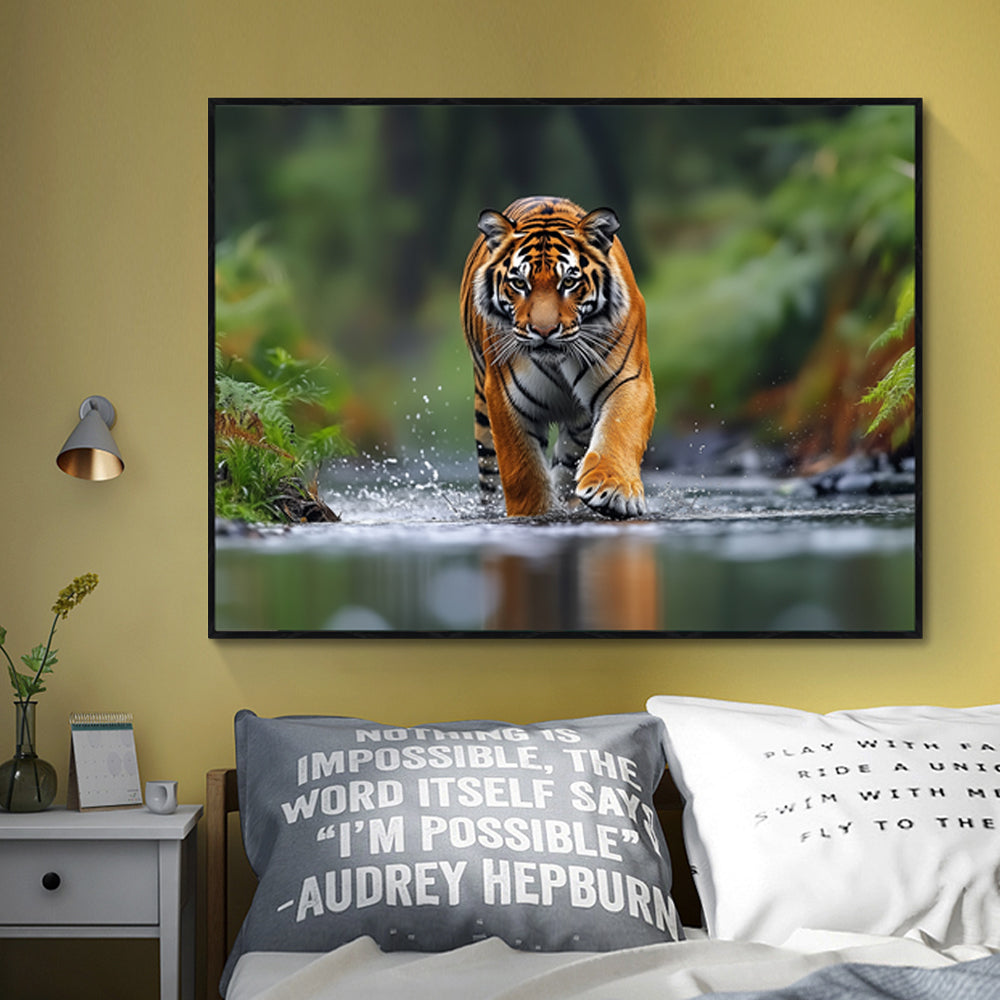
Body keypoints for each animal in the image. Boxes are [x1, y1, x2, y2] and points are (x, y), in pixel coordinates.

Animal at [460, 195, 655, 519]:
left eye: (569, 282)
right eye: (519, 283)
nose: (544, 330)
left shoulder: (628, 378)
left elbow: (620, 429)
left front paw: (613, 490)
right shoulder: (505, 397)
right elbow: (522, 471)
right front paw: (534, 513)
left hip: (578, 427)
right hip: (483, 424)